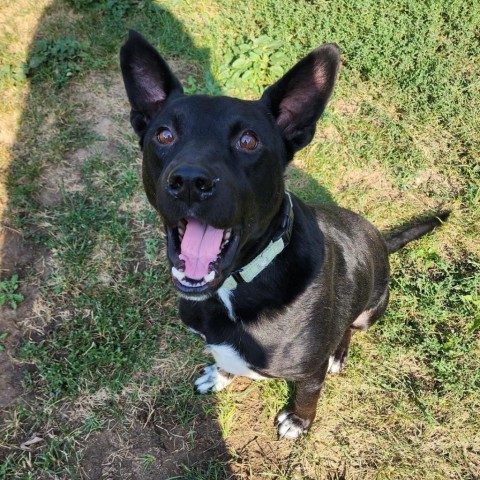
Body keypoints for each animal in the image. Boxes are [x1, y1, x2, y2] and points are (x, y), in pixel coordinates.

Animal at [119, 31, 446, 438]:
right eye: (164, 134)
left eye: (248, 141)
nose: (190, 182)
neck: (238, 285)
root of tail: (382, 242)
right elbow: (225, 360)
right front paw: (220, 375)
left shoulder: (309, 371)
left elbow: (309, 393)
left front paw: (298, 420)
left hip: (370, 309)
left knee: (349, 328)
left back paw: (339, 353)